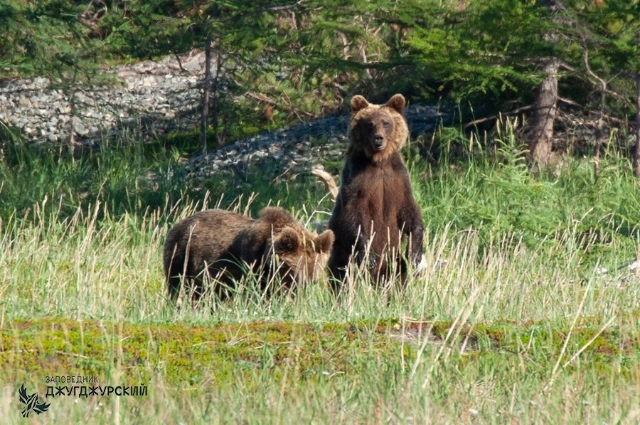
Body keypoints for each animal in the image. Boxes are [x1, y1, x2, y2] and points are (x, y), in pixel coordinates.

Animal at [164, 206, 336, 302]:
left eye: (317, 268)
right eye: (295, 268)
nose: (306, 282)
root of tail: (177, 224)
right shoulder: (250, 263)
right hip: (181, 256)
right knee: (179, 288)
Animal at [330, 93, 424, 290]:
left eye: (386, 122)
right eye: (369, 123)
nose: (378, 138)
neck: (378, 162)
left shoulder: (398, 179)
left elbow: (409, 211)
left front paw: (415, 253)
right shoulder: (357, 178)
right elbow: (353, 213)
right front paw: (369, 255)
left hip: (393, 257)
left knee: (399, 272)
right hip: (341, 250)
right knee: (342, 274)